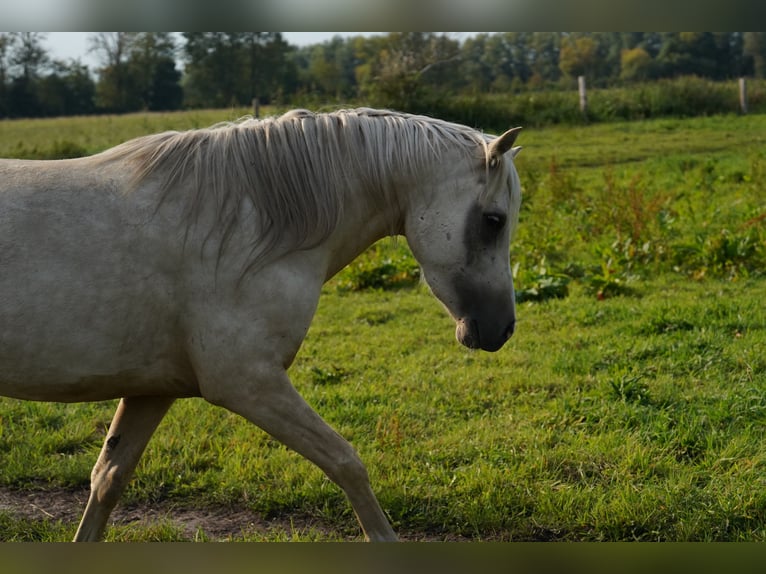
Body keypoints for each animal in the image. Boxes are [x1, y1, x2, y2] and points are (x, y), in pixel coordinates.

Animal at [0, 108, 520, 544]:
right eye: (494, 220)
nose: (502, 330)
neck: (244, 228)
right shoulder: (248, 384)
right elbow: (346, 463)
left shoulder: (151, 389)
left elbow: (108, 478)